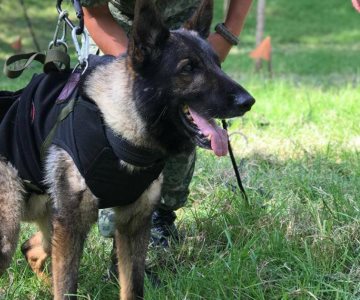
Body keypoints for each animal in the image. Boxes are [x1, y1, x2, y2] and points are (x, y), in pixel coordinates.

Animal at [0, 0, 255, 298]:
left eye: (217, 63)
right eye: (188, 68)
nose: (248, 102)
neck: (119, 131)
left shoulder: (134, 225)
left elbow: (132, 286)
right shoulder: (73, 226)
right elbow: (67, 289)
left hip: (49, 221)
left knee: (30, 248)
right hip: (13, 231)